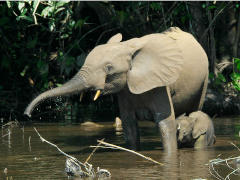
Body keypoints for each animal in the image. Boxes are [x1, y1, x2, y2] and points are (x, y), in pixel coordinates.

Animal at [23, 27, 208, 153]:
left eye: (109, 68)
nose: (27, 115)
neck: (128, 47)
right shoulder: (124, 90)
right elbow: (129, 125)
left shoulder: (160, 84)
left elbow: (165, 123)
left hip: (204, 79)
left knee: (194, 110)